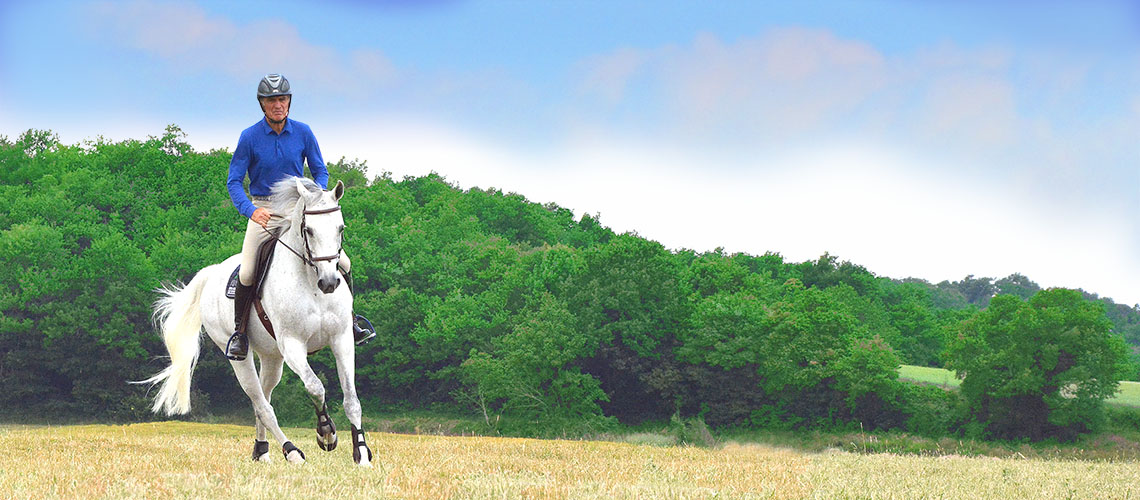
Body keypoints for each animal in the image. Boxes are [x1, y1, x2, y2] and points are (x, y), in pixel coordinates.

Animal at [139, 176, 372, 466]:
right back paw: (291, 450)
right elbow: (315, 387)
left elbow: (352, 398)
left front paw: (361, 452)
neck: (311, 283)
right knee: (262, 404)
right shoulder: (292, 345)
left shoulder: (342, 339)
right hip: (241, 356)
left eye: (340, 228)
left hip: (272, 357)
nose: (329, 282)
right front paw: (326, 434)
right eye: (308, 230)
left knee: (264, 397)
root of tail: (212, 273)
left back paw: (261, 449)